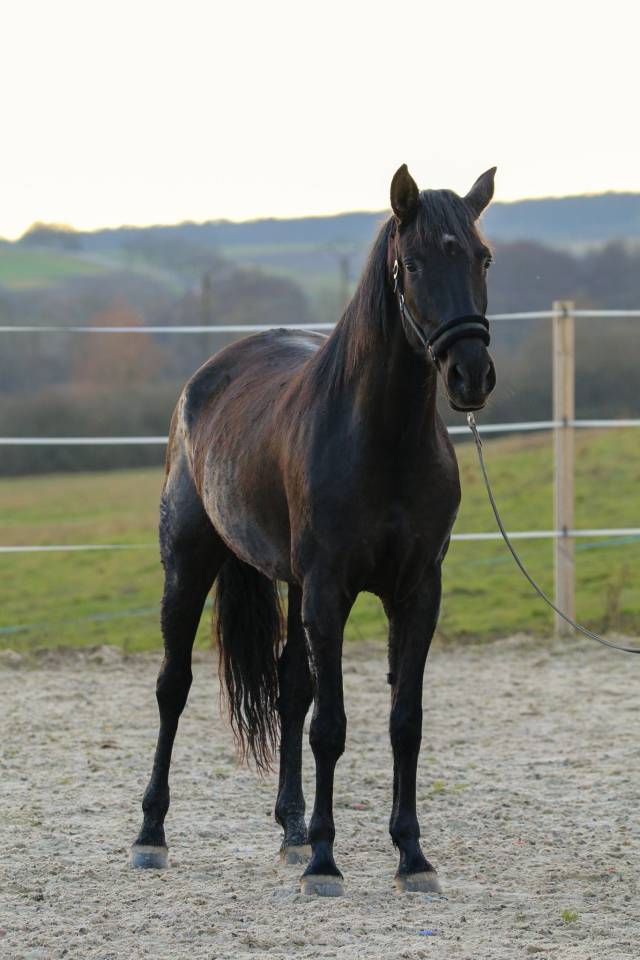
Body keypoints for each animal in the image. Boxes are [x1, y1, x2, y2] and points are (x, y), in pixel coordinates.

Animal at [131, 163, 497, 897]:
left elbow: (404, 721)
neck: (385, 439)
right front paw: (327, 862)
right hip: (189, 565)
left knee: (289, 688)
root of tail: (206, 379)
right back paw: (151, 834)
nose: (470, 375)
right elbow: (331, 727)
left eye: (483, 257)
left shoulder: (417, 593)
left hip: (294, 585)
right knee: (172, 687)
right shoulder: (331, 591)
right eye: (414, 263)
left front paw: (412, 855)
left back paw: (292, 829)